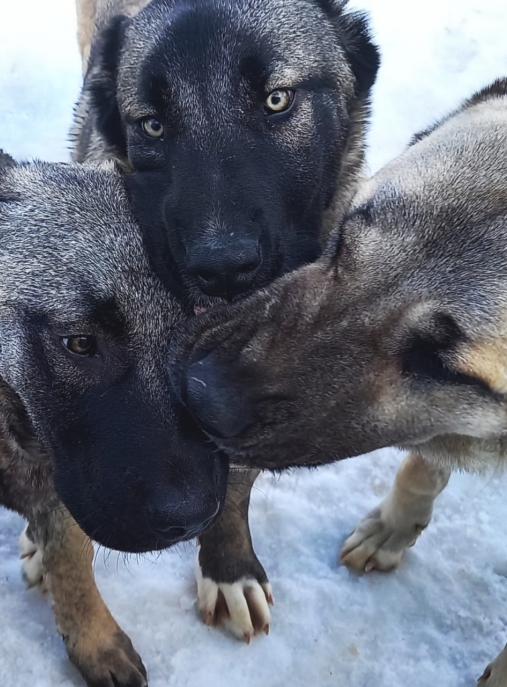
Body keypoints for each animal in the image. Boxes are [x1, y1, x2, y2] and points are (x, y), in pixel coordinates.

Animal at [0, 153, 227, 684]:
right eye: (80, 342)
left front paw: (94, 642)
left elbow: (73, 564)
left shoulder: (65, 493)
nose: (194, 518)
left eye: (202, 328)